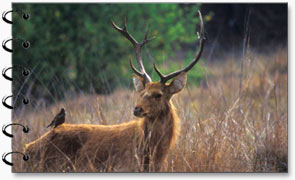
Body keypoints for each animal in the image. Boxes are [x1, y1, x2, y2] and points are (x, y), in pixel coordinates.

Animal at [24, 10, 206, 172]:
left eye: (158, 95)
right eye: (141, 93)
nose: (137, 109)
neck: (152, 155)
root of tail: (27, 148)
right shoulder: (122, 165)